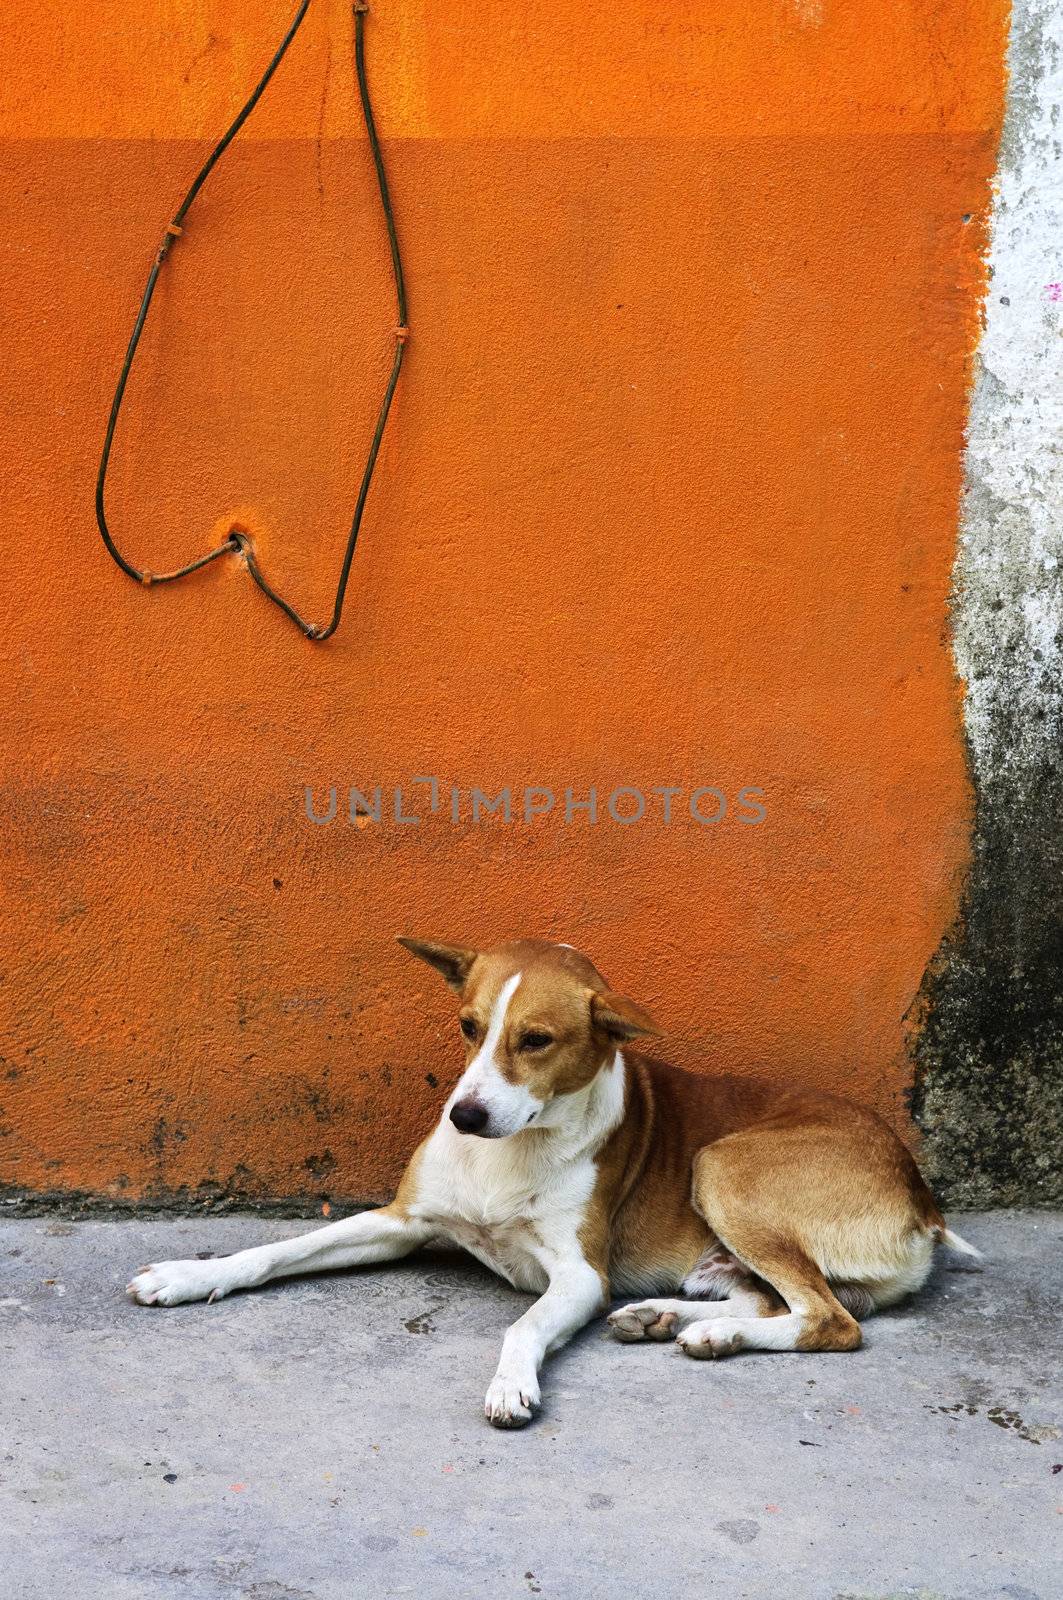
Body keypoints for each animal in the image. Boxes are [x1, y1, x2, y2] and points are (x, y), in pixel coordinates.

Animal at [128, 934, 986, 1427]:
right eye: (468, 1028)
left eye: (536, 1040)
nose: (464, 1114)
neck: (508, 1150)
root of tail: (920, 1196)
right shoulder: (401, 1221)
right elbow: (272, 1252)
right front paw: (184, 1275)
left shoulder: (577, 1275)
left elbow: (522, 1326)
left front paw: (512, 1385)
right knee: (778, 1299)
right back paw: (670, 1320)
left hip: (722, 1165)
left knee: (830, 1320)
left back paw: (706, 1332)